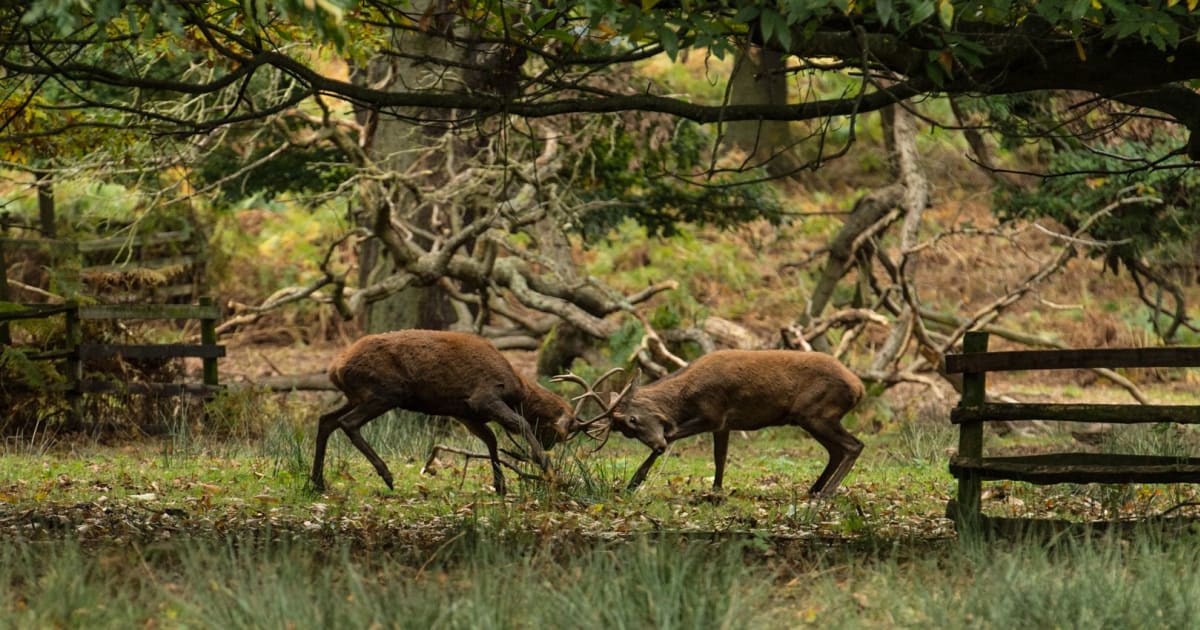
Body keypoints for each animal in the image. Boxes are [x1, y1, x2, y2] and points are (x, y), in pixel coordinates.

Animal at [311, 329, 576, 496]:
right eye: (558, 431)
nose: (549, 445)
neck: (516, 391)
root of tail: (335, 369)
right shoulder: (483, 397)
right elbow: (520, 424)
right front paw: (552, 475)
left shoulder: (465, 412)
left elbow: (490, 439)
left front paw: (500, 486)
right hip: (386, 391)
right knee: (347, 422)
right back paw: (386, 475)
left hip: (356, 396)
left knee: (326, 420)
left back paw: (317, 482)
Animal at [557, 349, 865, 496]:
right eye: (626, 434)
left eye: (632, 419)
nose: (656, 446)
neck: (686, 395)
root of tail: (859, 386)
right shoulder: (724, 424)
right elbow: (720, 457)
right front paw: (717, 489)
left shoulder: (713, 413)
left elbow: (674, 434)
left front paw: (635, 481)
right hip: (810, 417)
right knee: (836, 450)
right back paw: (814, 489)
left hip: (817, 412)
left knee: (854, 445)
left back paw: (827, 492)